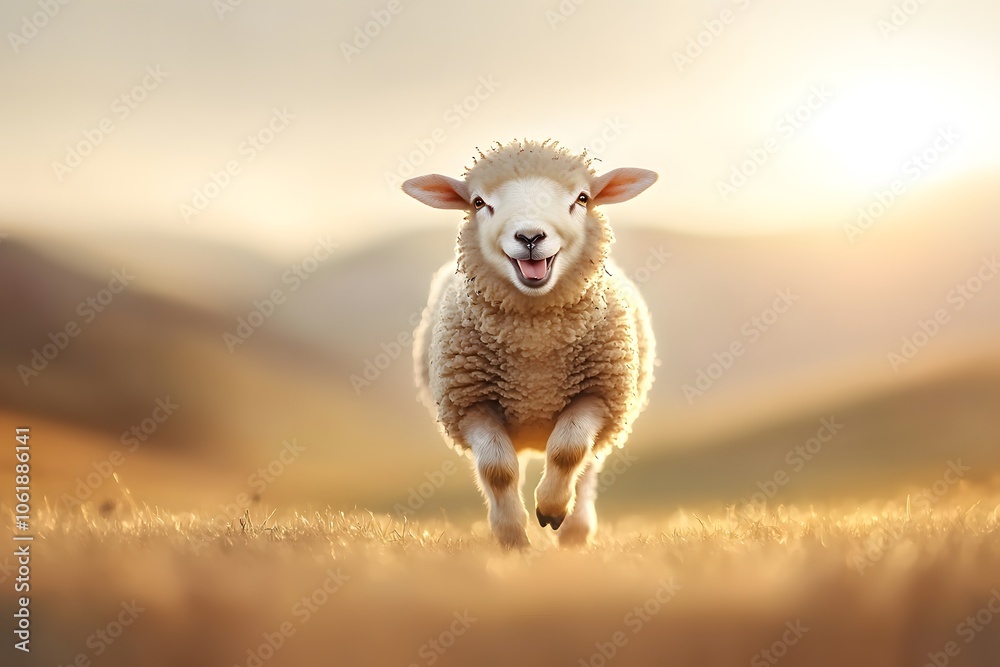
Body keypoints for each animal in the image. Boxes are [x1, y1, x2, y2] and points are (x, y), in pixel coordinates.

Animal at [403, 139, 657, 548]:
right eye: (478, 202)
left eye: (582, 198)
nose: (530, 237)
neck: (535, 338)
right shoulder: (471, 403)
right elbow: (497, 470)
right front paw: (512, 538)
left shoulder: (599, 393)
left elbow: (569, 451)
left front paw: (551, 509)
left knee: (587, 463)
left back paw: (574, 531)